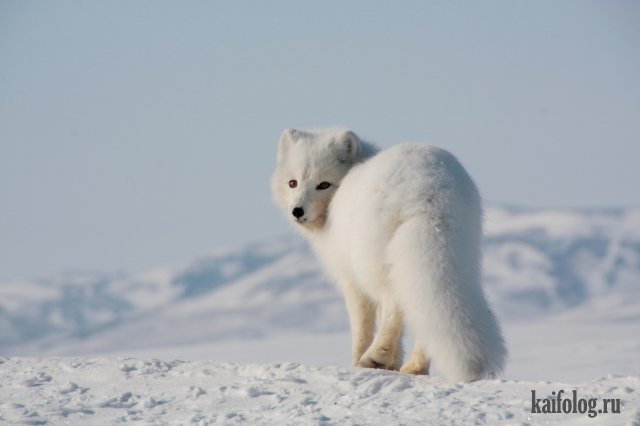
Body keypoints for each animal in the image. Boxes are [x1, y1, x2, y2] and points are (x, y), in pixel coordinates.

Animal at [270, 128, 504, 382]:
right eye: (293, 183)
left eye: (323, 184)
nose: (297, 211)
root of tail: (430, 189)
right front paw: (393, 364)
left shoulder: (351, 280)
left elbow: (362, 325)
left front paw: (363, 362)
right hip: (457, 254)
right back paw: (415, 367)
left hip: (372, 262)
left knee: (396, 304)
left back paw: (375, 356)